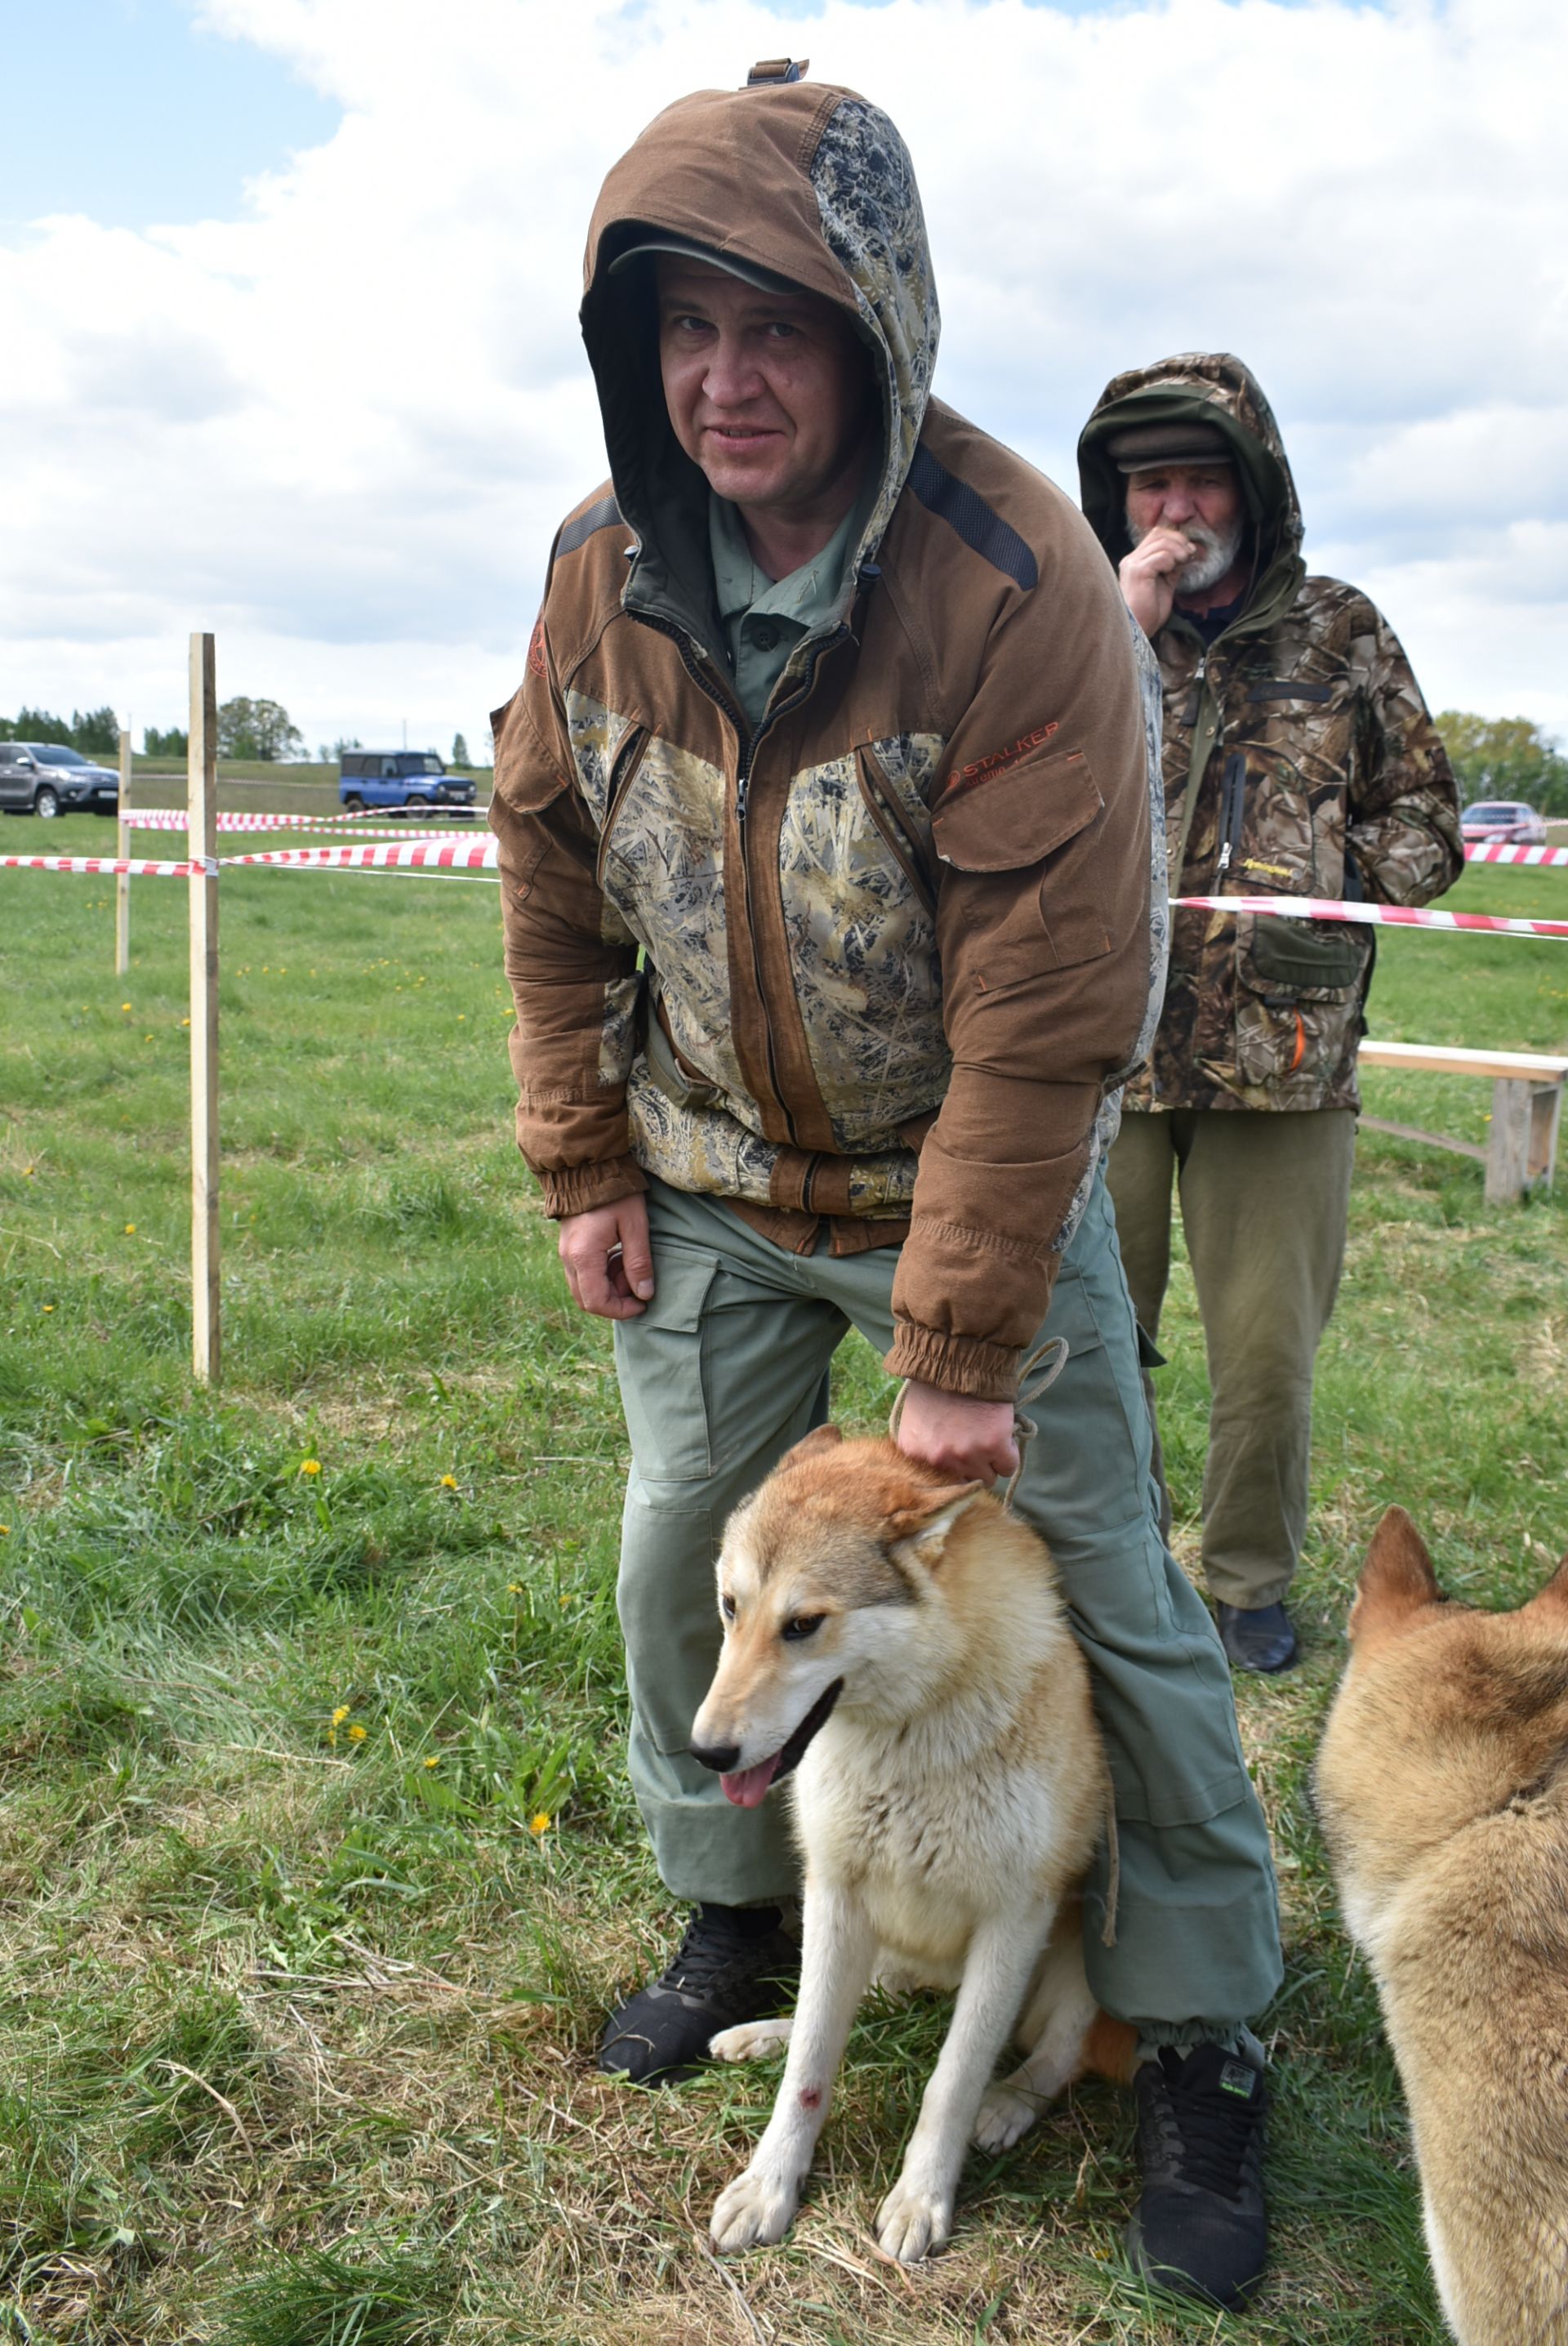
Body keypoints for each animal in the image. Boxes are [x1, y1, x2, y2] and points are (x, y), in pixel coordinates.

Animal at [684, 1416, 1125, 2261]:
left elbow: (951, 2081)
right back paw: (762, 2033)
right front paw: (768, 2188)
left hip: (1093, 1952)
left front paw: (921, 2200)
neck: (910, 1733)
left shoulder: (1013, 1922)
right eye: (728, 1606)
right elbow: (811, 2063)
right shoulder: (835, 1892)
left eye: (802, 1625)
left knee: (1055, 2058)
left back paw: (1006, 2105)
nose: (707, 1753)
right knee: (855, 2009)